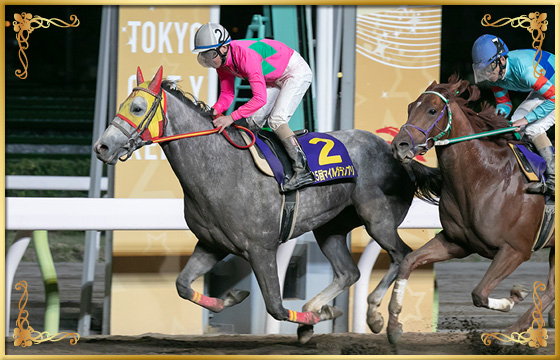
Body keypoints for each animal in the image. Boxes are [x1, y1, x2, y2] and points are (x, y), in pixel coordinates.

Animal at [94, 66, 440, 342]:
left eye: (137, 107)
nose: (102, 147)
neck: (220, 168)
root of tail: (397, 153)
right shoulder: (211, 244)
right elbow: (182, 285)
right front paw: (233, 297)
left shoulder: (261, 248)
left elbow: (276, 307)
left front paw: (315, 319)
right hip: (331, 227)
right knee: (348, 272)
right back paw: (320, 308)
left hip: (377, 218)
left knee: (401, 255)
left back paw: (374, 315)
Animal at [388, 75, 552, 344]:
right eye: (410, 107)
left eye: (432, 110)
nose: (399, 146)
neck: (485, 178)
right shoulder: (457, 242)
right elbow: (408, 262)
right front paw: (391, 325)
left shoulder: (516, 249)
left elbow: (479, 293)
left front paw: (514, 296)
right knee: (551, 289)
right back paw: (511, 332)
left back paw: (510, 331)